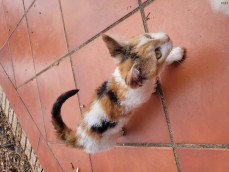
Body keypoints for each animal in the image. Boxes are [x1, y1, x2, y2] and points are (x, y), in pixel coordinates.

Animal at [51, 32, 184, 153]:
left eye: (149, 36)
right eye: (157, 54)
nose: (167, 36)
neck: (123, 82)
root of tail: (76, 136)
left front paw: (175, 53)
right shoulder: (142, 94)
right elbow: (155, 76)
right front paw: (176, 55)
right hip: (105, 143)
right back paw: (120, 131)